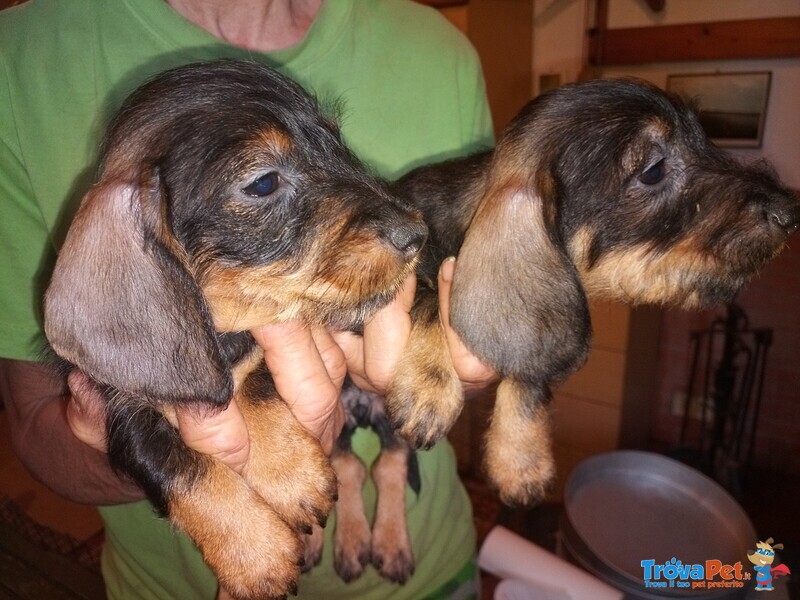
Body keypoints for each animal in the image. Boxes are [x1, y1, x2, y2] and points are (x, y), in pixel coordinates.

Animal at [42, 59, 432, 600]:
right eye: (264, 183)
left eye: (338, 145)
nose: (417, 233)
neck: (223, 330)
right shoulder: (120, 412)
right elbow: (177, 466)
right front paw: (254, 555)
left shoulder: (270, 339)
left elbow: (257, 382)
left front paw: (290, 472)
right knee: (355, 465)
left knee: (388, 461)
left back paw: (387, 541)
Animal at [384, 76, 796, 506]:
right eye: (654, 170)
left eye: (704, 137)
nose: (789, 212)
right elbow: (429, 299)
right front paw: (429, 389)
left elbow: (529, 375)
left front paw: (520, 460)